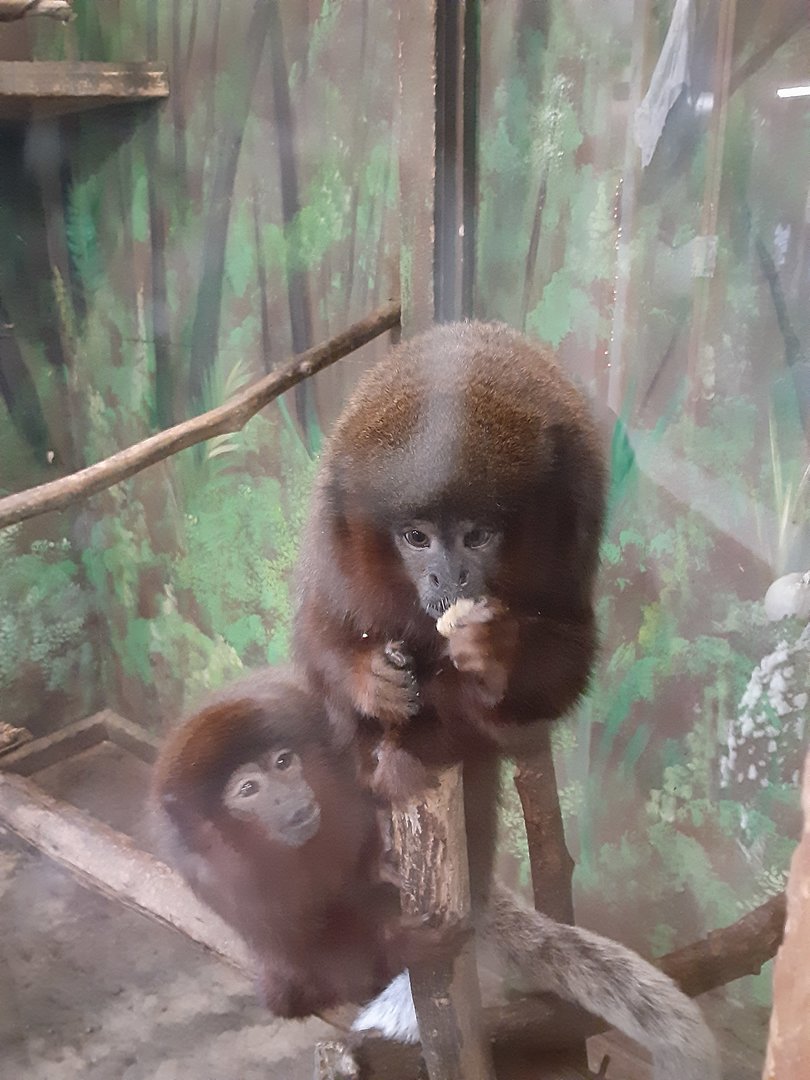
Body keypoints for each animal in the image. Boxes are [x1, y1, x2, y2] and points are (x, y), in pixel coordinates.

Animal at [152, 668, 720, 1080]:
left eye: (283, 763)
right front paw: (401, 946)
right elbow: (301, 949)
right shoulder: (217, 880)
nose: (287, 799)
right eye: (248, 790)